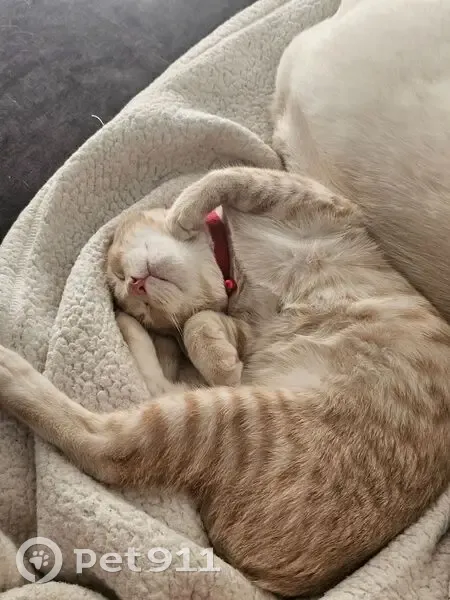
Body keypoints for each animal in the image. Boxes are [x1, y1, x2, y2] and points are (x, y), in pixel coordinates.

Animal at [1, 166, 450, 597]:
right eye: (129, 292)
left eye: (117, 270)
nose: (133, 289)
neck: (234, 267)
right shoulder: (250, 333)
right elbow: (201, 325)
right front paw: (214, 353)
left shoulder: (317, 201)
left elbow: (228, 177)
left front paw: (183, 212)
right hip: (226, 413)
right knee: (107, 445)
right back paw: (24, 366)